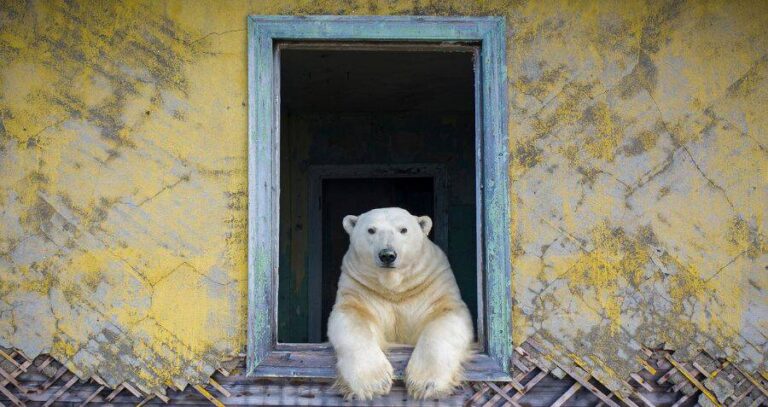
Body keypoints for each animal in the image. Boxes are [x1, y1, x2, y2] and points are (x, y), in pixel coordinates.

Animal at [327, 207, 474, 400]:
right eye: (371, 230)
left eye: (403, 229)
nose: (387, 255)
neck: (394, 288)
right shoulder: (359, 287)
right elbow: (352, 318)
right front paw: (373, 383)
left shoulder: (432, 283)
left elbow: (446, 316)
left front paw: (424, 383)